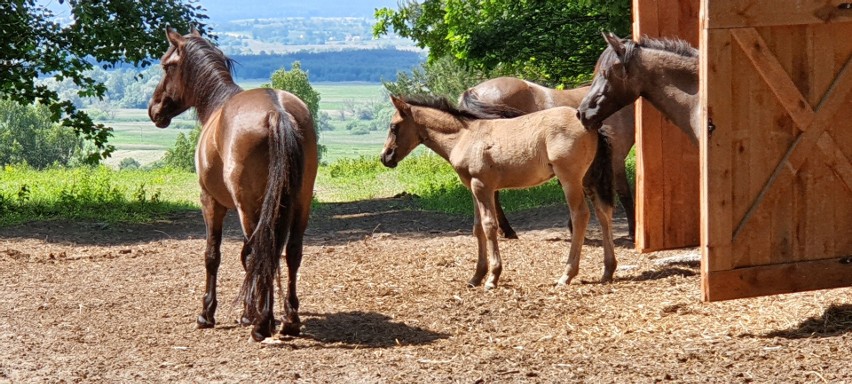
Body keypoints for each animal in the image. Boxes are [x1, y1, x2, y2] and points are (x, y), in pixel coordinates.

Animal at [146, 27, 320, 340]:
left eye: (167, 66)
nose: (154, 109)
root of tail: (277, 112)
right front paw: (248, 311)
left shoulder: (211, 202)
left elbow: (213, 255)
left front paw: (209, 313)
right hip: (301, 203)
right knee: (291, 253)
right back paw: (289, 319)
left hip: (249, 208)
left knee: (261, 251)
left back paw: (262, 323)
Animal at [382, 95, 616, 288]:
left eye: (393, 127)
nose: (385, 157)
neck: (464, 137)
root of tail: (590, 124)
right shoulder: (473, 188)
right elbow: (477, 228)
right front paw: (476, 276)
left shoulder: (482, 185)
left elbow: (489, 226)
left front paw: (493, 277)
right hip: (588, 178)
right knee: (603, 213)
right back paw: (608, 271)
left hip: (570, 179)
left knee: (580, 215)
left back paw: (566, 275)